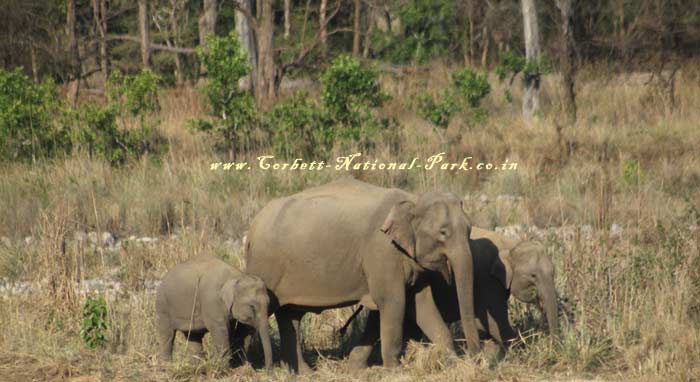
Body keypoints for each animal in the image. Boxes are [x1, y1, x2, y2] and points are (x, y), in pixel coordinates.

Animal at [243, 178, 478, 372]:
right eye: (443, 233)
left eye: (469, 229)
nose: (475, 356)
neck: (413, 199)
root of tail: (252, 227)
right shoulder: (382, 252)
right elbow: (393, 301)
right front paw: (394, 371)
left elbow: (422, 305)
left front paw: (452, 364)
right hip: (264, 266)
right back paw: (247, 365)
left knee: (290, 316)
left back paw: (304, 373)